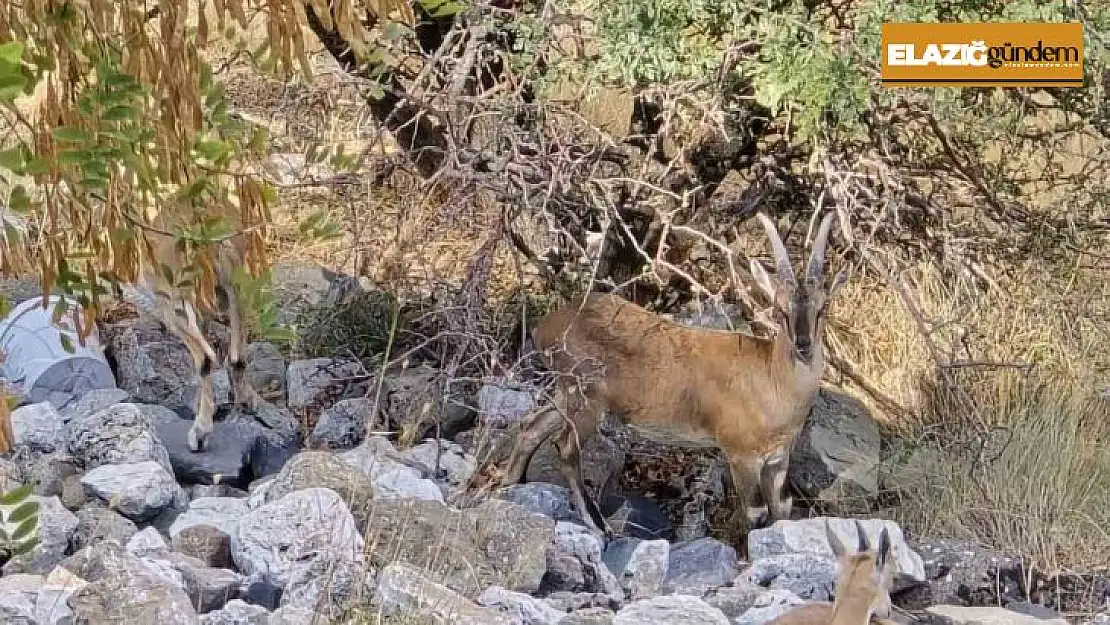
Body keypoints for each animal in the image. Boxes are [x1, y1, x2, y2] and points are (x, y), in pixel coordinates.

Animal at [472, 209, 843, 532]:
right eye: (780, 309)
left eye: (823, 308)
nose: (803, 346)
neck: (772, 380)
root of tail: (547, 328)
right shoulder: (740, 455)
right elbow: (756, 513)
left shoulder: (778, 460)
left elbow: (782, 508)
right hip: (588, 398)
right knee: (565, 446)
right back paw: (597, 524)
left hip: (565, 392)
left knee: (531, 425)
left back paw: (510, 485)